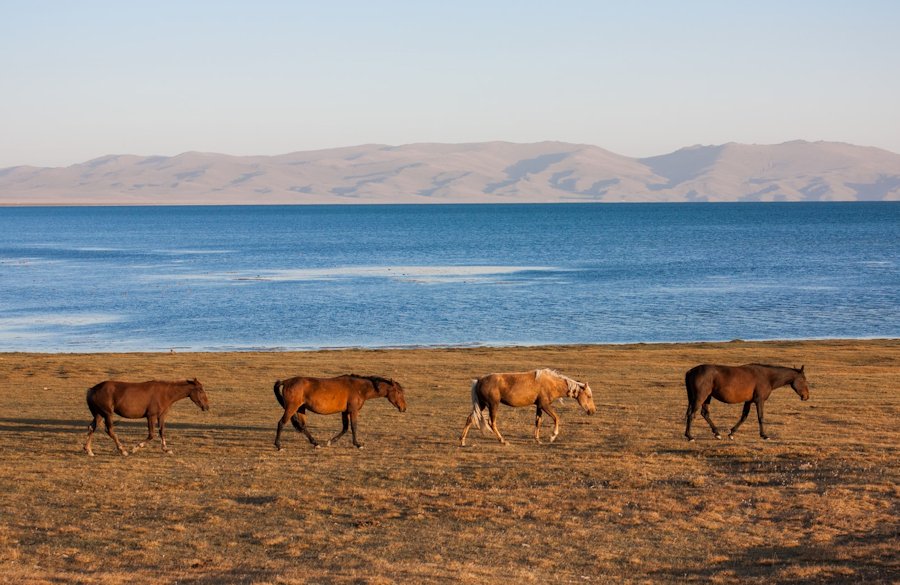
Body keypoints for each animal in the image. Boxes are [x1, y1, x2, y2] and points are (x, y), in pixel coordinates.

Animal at [83, 378, 211, 456]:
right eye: (200, 390)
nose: (206, 406)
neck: (165, 393)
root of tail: (93, 389)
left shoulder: (162, 416)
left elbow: (162, 431)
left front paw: (166, 449)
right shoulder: (151, 416)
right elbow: (151, 435)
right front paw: (136, 447)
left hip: (99, 414)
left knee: (91, 428)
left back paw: (88, 450)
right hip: (108, 414)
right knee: (109, 430)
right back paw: (122, 450)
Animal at [270, 372, 404, 450]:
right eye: (398, 392)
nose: (404, 408)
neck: (359, 388)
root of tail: (286, 381)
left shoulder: (345, 412)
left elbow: (345, 428)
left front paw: (331, 441)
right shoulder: (353, 411)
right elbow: (353, 427)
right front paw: (358, 444)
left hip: (300, 409)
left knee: (303, 426)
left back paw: (315, 443)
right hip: (291, 408)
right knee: (281, 423)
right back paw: (279, 445)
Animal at [460, 368, 596, 444]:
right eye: (589, 396)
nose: (592, 411)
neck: (551, 383)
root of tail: (479, 380)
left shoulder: (539, 406)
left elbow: (538, 422)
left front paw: (537, 439)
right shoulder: (545, 405)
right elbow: (556, 418)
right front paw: (553, 436)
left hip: (482, 405)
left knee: (470, 419)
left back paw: (462, 441)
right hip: (493, 405)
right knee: (491, 422)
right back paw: (502, 440)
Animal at [684, 362, 812, 440]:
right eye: (803, 379)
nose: (806, 396)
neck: (767, 377)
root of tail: (691, 371)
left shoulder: (748, 401)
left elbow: (743, 417)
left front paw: (732, 433)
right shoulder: (759, 401)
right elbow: (760, 417)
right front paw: (764, 435)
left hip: (707, 398)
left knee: (704, 413)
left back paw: (717, 433)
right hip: (700, 397)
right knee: (691, 414)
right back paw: (690, 436)